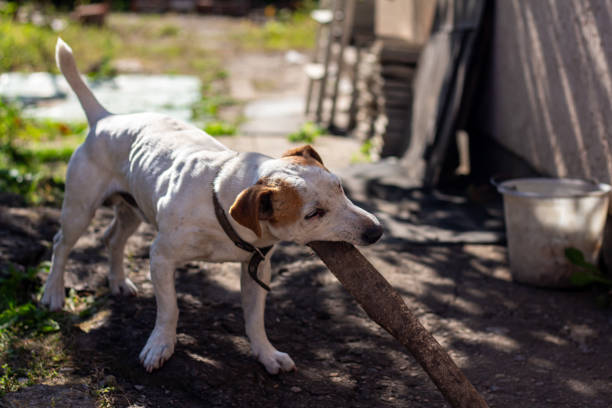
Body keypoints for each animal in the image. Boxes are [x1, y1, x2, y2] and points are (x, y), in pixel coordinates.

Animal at [41, 38, 382, 372]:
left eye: (339, 187)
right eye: (313, 214)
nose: (376, 231)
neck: (220, 202)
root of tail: (105, 117)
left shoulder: (258, 268)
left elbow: (255, 320)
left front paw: (266, 354)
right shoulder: (161, 257)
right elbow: (170, 309)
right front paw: (161, 345)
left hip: (132, 209)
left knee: (113, 238)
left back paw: (118, 282)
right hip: (79, 209)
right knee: (61, 244)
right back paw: (53, 293)